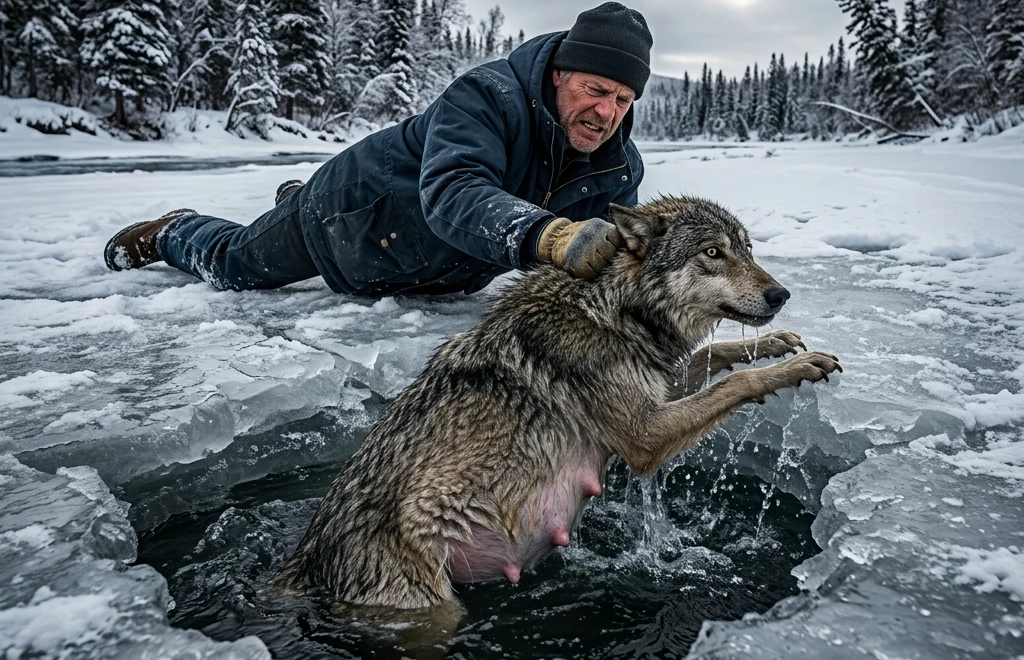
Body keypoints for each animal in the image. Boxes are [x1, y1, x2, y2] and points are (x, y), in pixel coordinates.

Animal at [271, 195, 841, 609]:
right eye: (712, 253)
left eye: (747, 250)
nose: (781, 295)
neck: (613, 308)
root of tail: (302, 563)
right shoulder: (643, 437)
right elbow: (732, 385)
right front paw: (797, 367)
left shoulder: (659, 386)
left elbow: (715, 354)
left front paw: (778, 342)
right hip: (435, 609)